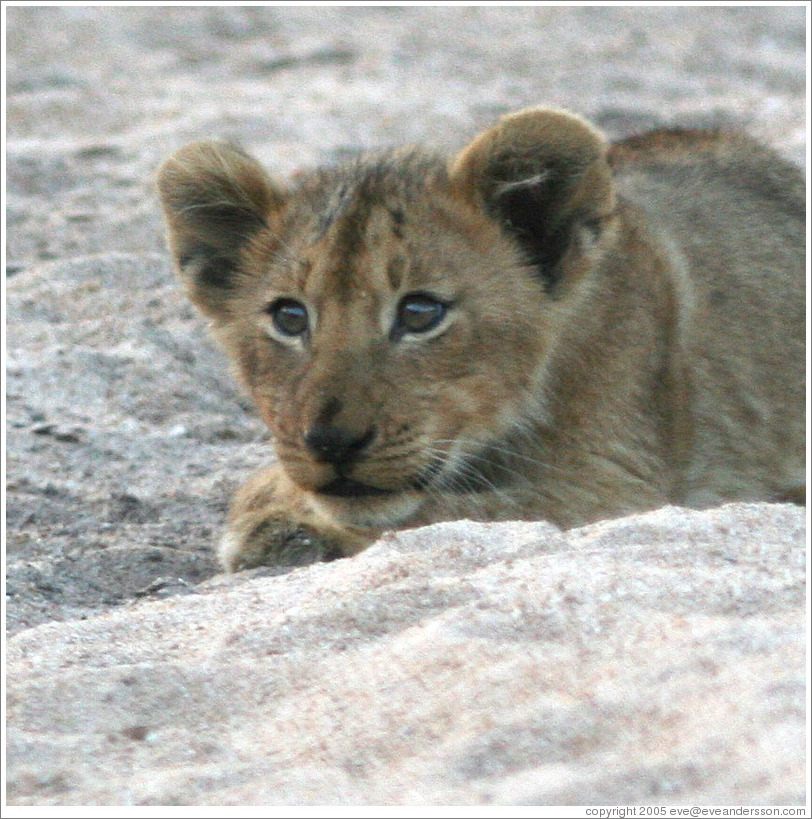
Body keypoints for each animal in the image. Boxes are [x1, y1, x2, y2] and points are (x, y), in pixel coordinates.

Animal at [157, 106, 805, 571]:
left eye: (421, 312)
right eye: (290, 318)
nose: (332, 442)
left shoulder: (618, 486)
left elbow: (439, 517)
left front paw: (277, 520)